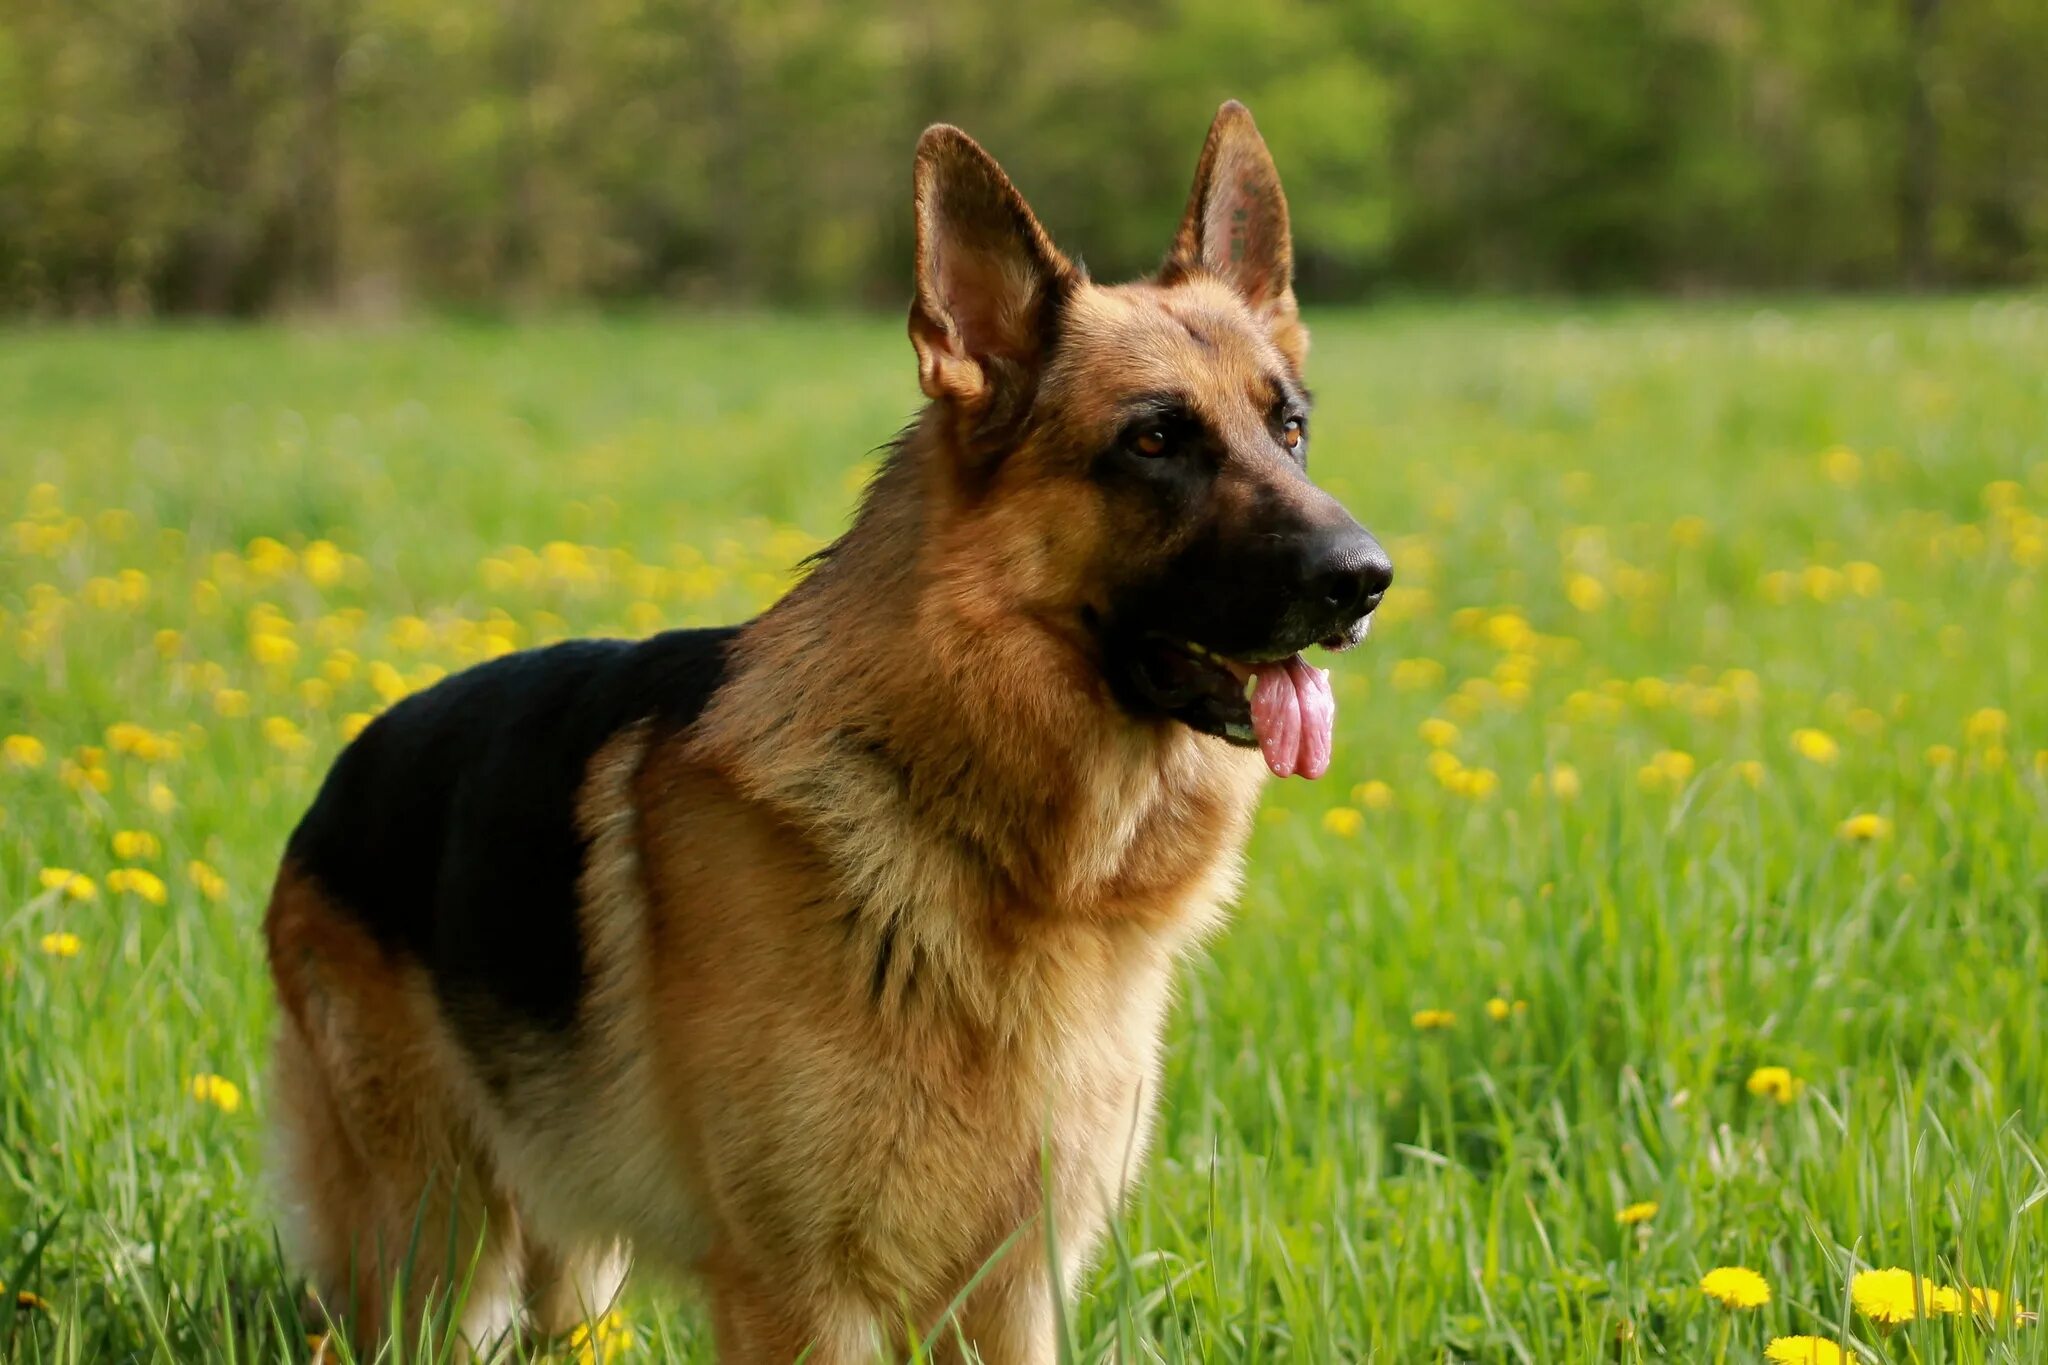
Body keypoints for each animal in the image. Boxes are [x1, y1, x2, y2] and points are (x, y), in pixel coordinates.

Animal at [264, 101, 1392, 1358]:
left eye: (1287, 431)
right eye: (1153, 442)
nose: (1364, 579)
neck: (961, 814)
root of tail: (345, 767)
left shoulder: (1014, 1290)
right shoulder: (803, 1297)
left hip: (563, 1266)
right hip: (435, 1257)